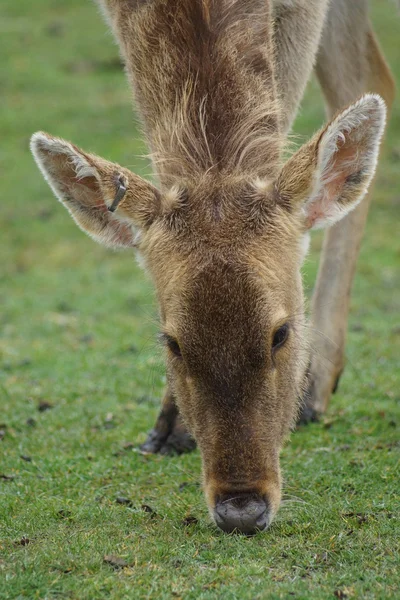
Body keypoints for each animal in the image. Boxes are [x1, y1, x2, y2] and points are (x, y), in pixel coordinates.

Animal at [29, 0, 396, 536]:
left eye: (282, 333)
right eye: (171, 342)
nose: (241, 509)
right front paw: (168, 430)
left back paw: (314, 389)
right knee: (368, 73)